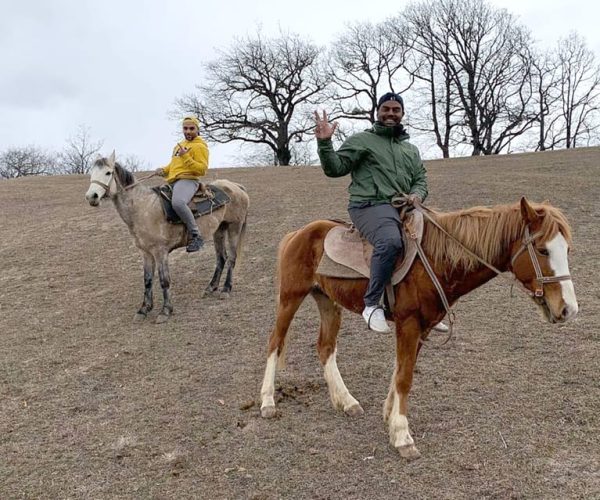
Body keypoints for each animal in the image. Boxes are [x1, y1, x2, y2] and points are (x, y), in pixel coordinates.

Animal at [84, 153, 248, 324]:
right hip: (219, 230)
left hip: (234, 228)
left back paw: (226, 289)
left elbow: (164, 280)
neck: (143, 208)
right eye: (92, 173)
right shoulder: (146, 253)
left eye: (108, 173)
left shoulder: (160, 252)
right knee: (221, 258)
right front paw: (144, 309)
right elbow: (147, 280)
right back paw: (210, 288)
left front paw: (165, 310)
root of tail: (236, 187)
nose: (91, 197)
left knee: (231, 258)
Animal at [258, 197, 576, 458]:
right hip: (290, 297)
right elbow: (405, 377)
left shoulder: (423, 328)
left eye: (567, 249)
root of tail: (297, 233)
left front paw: (389, 416)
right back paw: (268, 402)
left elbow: (401, 370)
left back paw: (346, 401)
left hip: (328, 302)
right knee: (275, 342)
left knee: (325, 347)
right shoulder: (409, 324)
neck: (435, 260)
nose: (568, 309)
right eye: (542, 250)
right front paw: (402, 435)